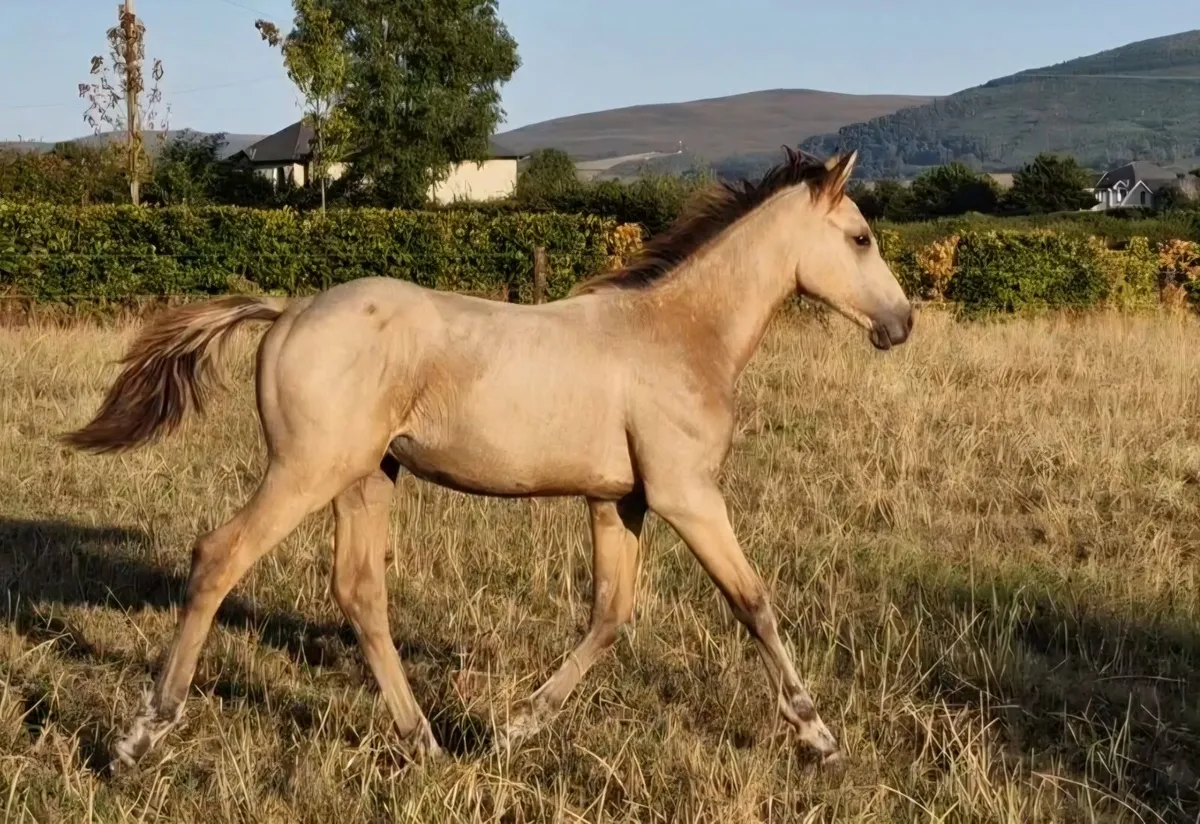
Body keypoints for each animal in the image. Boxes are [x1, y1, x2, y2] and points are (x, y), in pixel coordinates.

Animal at [64, 147, 913, 771]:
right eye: (860, 237)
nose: (901, 323)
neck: (680, 335)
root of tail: (289, 311)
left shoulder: (620, 500)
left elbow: (610, 614)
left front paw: (513, 730)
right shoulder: (687, 495)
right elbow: (753, 602)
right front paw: (820, 737)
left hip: (365, 478)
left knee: (359, 592)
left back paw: (426, 744)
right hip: (305, 471)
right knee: (219, 557)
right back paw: (140, 736)